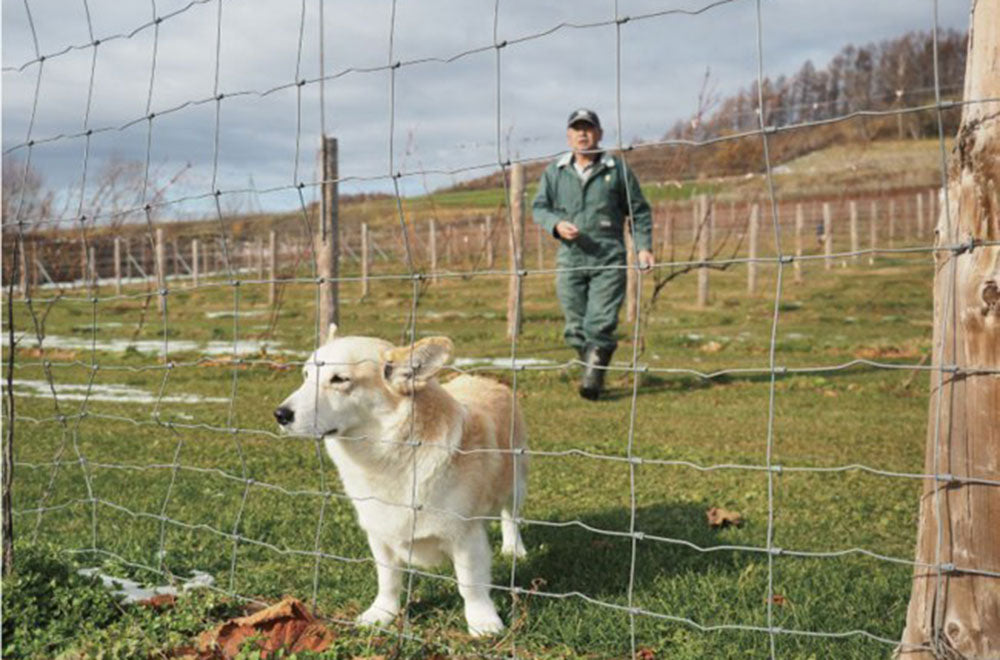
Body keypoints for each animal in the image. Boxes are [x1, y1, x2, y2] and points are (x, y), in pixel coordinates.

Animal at [270, 328, 528, 636]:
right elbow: (388, 581)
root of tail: (489, 381)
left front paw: (483, 622)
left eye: (339, 379)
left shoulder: (466, 538)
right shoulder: (380, 536)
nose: (280, 415)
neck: (390, 456)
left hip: (516, 484)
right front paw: (381, 615)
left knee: (510, 517)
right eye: (306, 375)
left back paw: (514, 549)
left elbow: (471, 586)